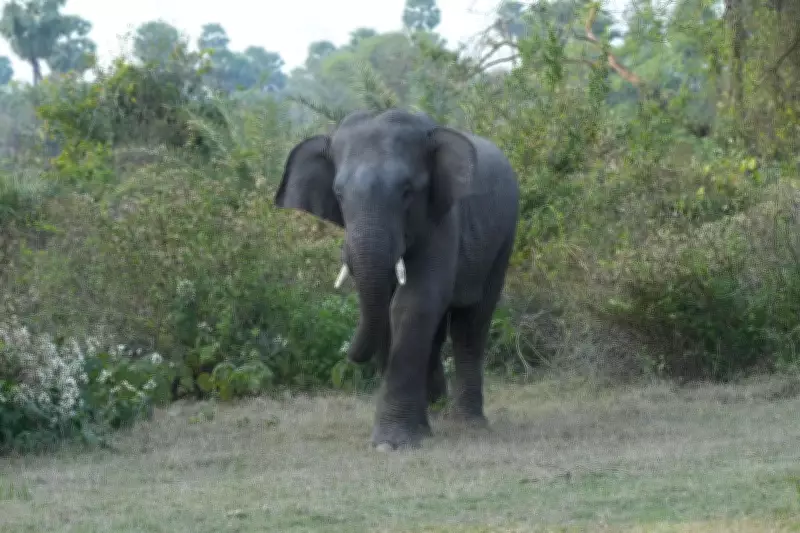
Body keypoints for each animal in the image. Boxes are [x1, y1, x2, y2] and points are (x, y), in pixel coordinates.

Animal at [274, 108, 520, 450]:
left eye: (407, 191)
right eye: (338, 193)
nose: (349, 355)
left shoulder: (442, 218)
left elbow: (412, 303)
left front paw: (390, 444)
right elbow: (390, 310)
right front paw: (413, 433)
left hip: (504, 238)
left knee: (471, 322)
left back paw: (468, 423)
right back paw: (435, 413)